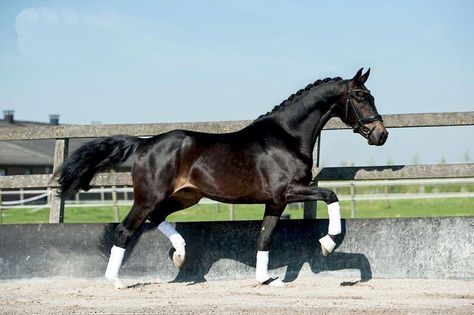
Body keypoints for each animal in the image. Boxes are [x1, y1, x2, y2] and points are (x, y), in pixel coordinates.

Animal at [56, 69, 388, 288]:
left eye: (371, 96)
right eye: (360, 97)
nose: (381, 135)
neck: (287, 137)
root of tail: (143, 144)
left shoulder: (275, 202)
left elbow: (265, 236)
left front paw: (265, 278)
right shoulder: (288, 191)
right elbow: (332, 196)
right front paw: (327, 244)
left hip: (184, 197)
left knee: (158, 218)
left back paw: (180, 254)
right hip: (148, 197)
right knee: (126, 230)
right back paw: (117, 281)